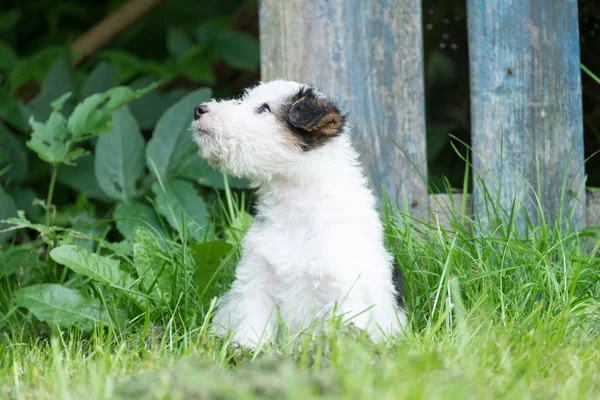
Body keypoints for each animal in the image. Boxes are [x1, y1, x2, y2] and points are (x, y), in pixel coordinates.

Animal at [191, 79, 408, 346]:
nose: (200, 110)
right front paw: (246, 349)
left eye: (264, 109)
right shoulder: (257, 280)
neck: (295, 210)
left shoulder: (343, 289)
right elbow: (253, 324)